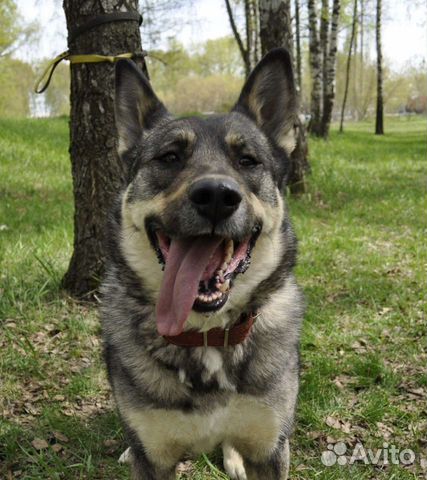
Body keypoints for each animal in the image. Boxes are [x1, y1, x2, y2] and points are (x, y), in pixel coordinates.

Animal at [101, 49, 304, 480]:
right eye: (170, 157)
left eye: (247, 161)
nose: (215, 196)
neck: (206, 336)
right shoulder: (154, 458)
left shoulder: (270, 448)